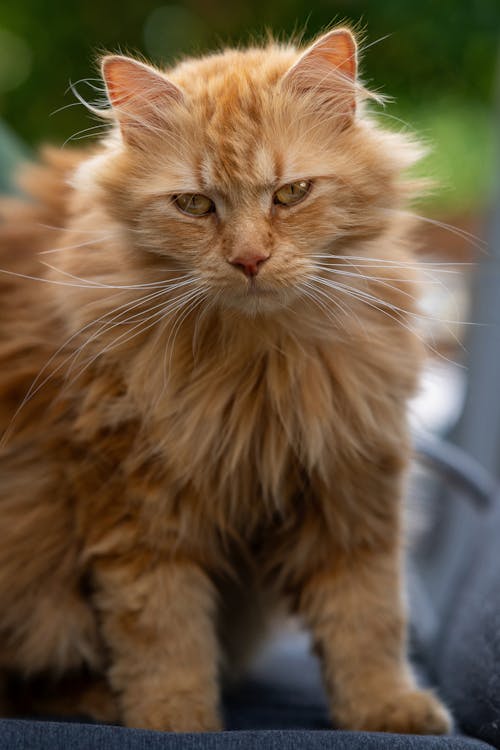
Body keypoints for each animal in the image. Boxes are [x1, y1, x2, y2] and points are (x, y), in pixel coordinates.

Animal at [0, 29, 454, 736]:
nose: (248, 259)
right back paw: (97, 701)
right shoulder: (134, 499)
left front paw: (384, 707)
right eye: (194, 204)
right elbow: (162, 627)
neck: (258, 369)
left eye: (291, 193)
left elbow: (368, 615)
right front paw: (174, 718)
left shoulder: (351, 486)